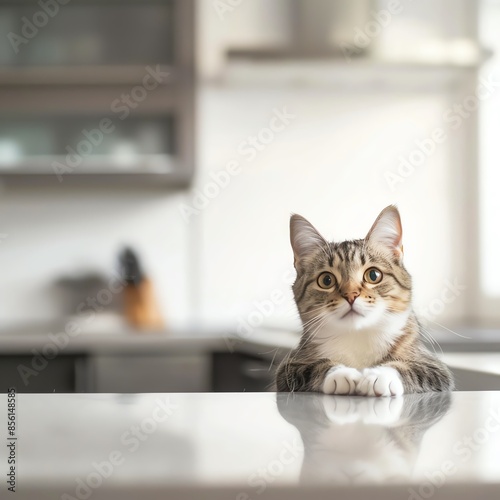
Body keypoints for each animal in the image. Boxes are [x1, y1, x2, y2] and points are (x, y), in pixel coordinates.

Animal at [276, 205, 456, 396]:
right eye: (326, 280)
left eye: (373, 275)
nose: (351, 295)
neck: (357, 336)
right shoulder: (288, 368)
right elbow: (312, 368)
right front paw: (341, 374)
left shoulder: (435, 367)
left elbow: (411, 368)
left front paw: (380, 376)